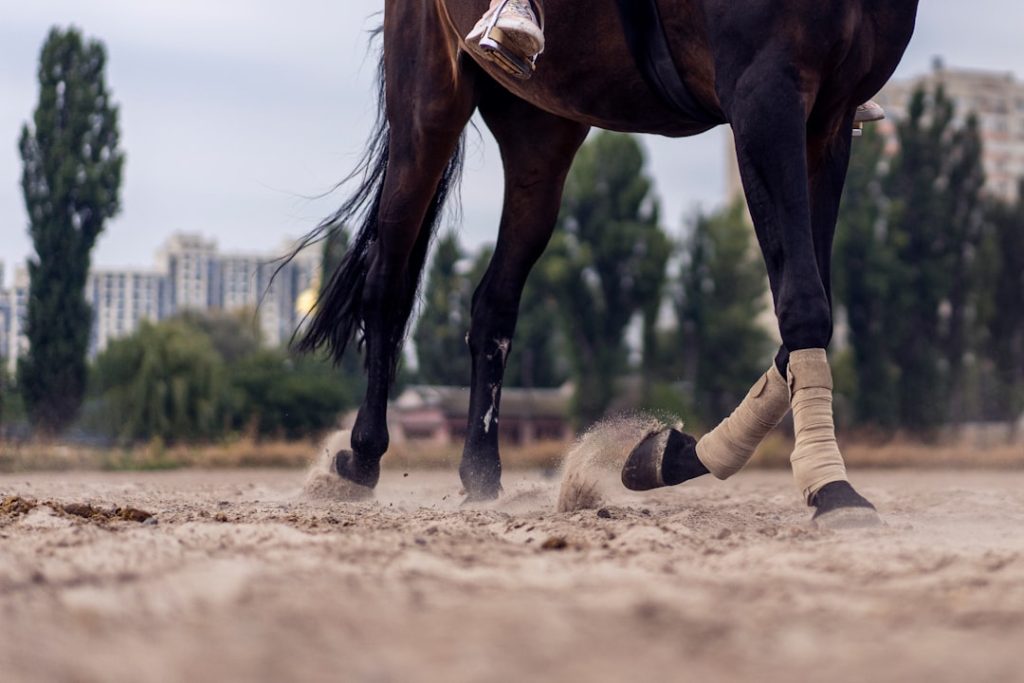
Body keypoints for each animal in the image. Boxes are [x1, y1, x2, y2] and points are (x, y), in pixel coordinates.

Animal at [294, 0, 920, 525]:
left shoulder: (829, 116)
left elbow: (807, 306)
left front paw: (672, 454)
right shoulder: (764, 92)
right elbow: (803, 302)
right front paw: (832, 489)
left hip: (540, 131)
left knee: (494, 303)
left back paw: (482, 474)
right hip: (429, 107)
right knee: (387, 282)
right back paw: (360, 459)